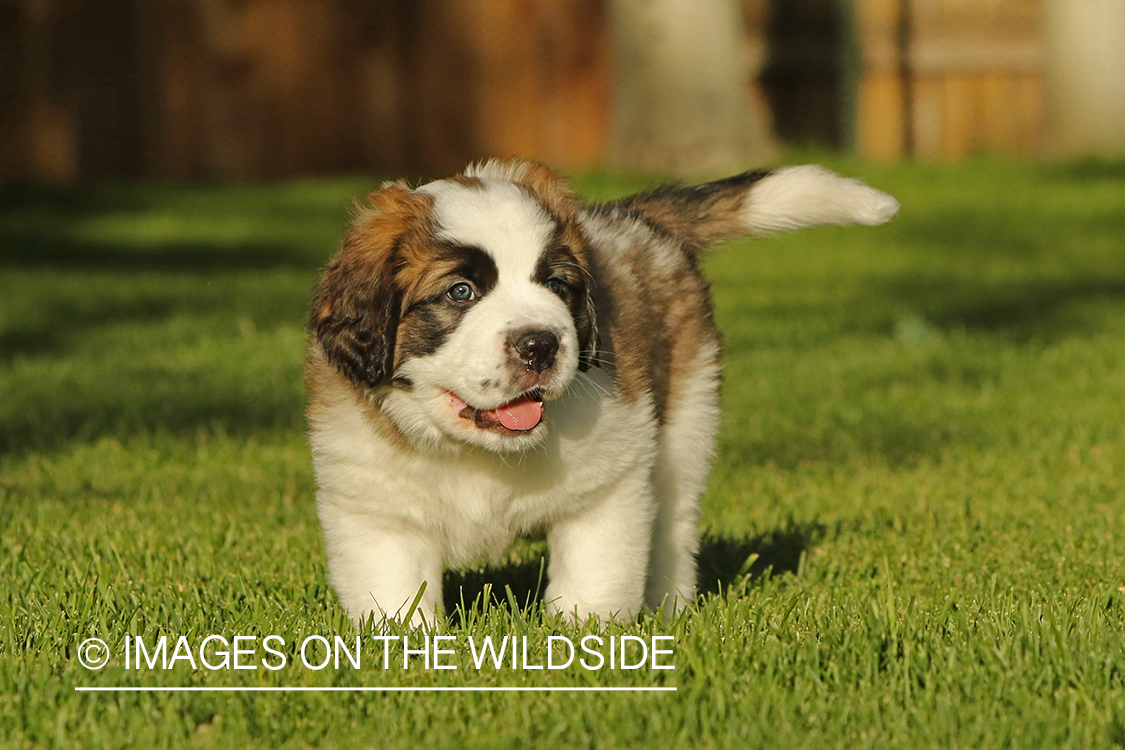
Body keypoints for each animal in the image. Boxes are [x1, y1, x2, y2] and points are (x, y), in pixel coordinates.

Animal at [306, 159, 895, 629]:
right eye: (460, 292)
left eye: (556, 286)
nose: (541, 344)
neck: (480, 452)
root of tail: (628, 216)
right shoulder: (374, 508)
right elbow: (394, 592)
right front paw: (408, 647)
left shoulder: (609, 482)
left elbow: (595, 575)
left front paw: (584, 640)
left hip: (687, 418)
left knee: (674, 524)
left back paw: (669, 609)